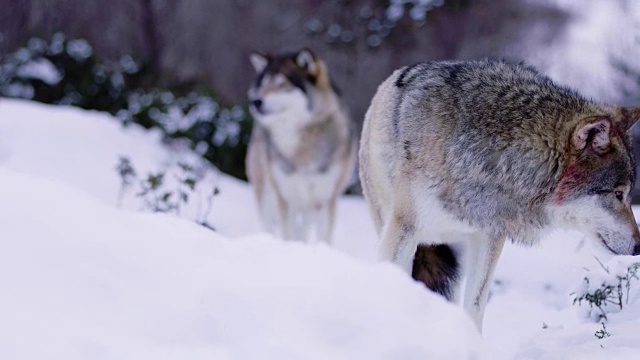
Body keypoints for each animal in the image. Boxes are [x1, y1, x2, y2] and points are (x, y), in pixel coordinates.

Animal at [246, 47, 358, 243]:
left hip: (309, 205)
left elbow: (323, 239)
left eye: (283, 84)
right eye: (263, 84)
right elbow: (288, 234)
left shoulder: (324, 200)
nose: (256, 101)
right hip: (268, 194)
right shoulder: (285, 198)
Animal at [358, 59, 640, 332]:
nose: (639, 247)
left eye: (628, 194)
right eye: (618, 194)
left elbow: (474, 306)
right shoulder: (403, 232)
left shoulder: (489, 237)